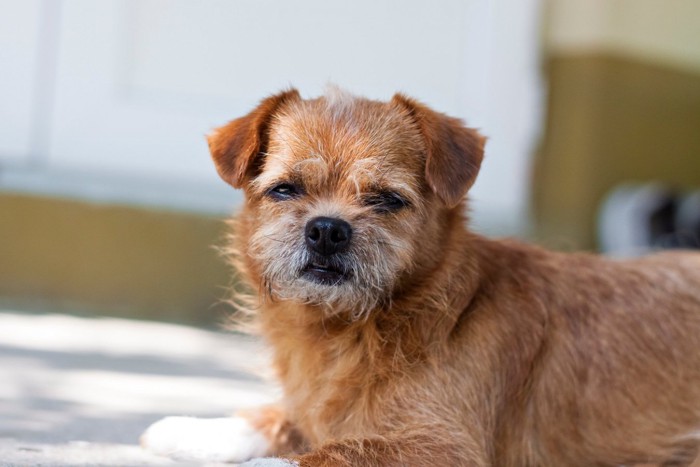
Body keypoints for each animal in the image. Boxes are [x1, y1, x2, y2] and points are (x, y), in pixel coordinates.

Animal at [141, 88, 700, 467]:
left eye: (387, 199)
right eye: (285, 189)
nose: (327, 230)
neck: (350, 330)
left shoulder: (443, 446)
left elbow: (331, 451)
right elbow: (281, 416)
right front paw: (196, 431)